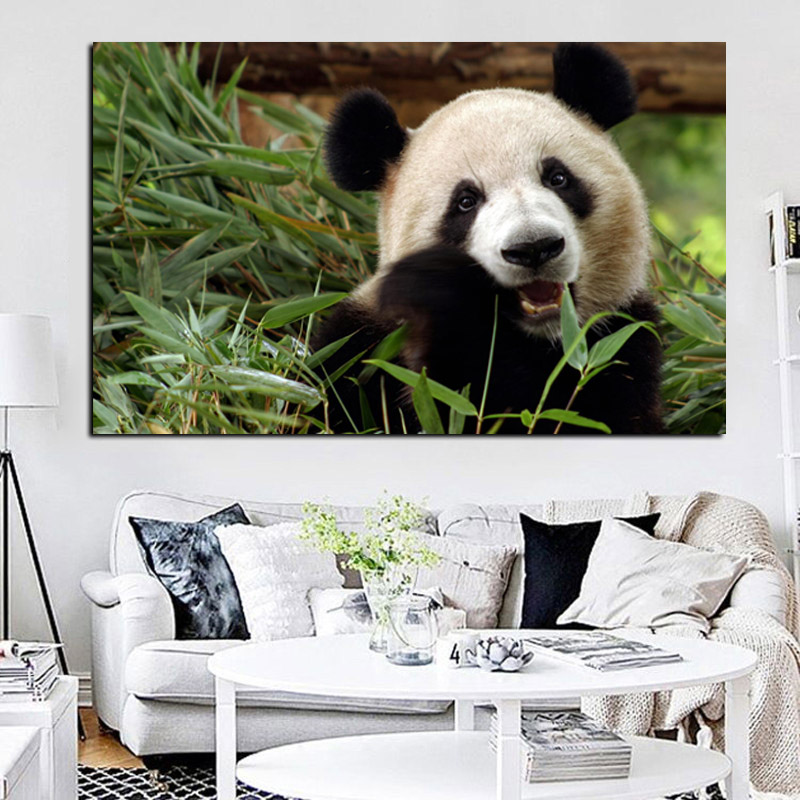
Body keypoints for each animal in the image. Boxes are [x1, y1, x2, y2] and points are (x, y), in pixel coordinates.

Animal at [313, 42, 663, 434]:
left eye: (558, 178)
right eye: (466, 201)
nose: (533, 248)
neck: (538, 340)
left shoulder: (621, 344)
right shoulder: (361, 347)